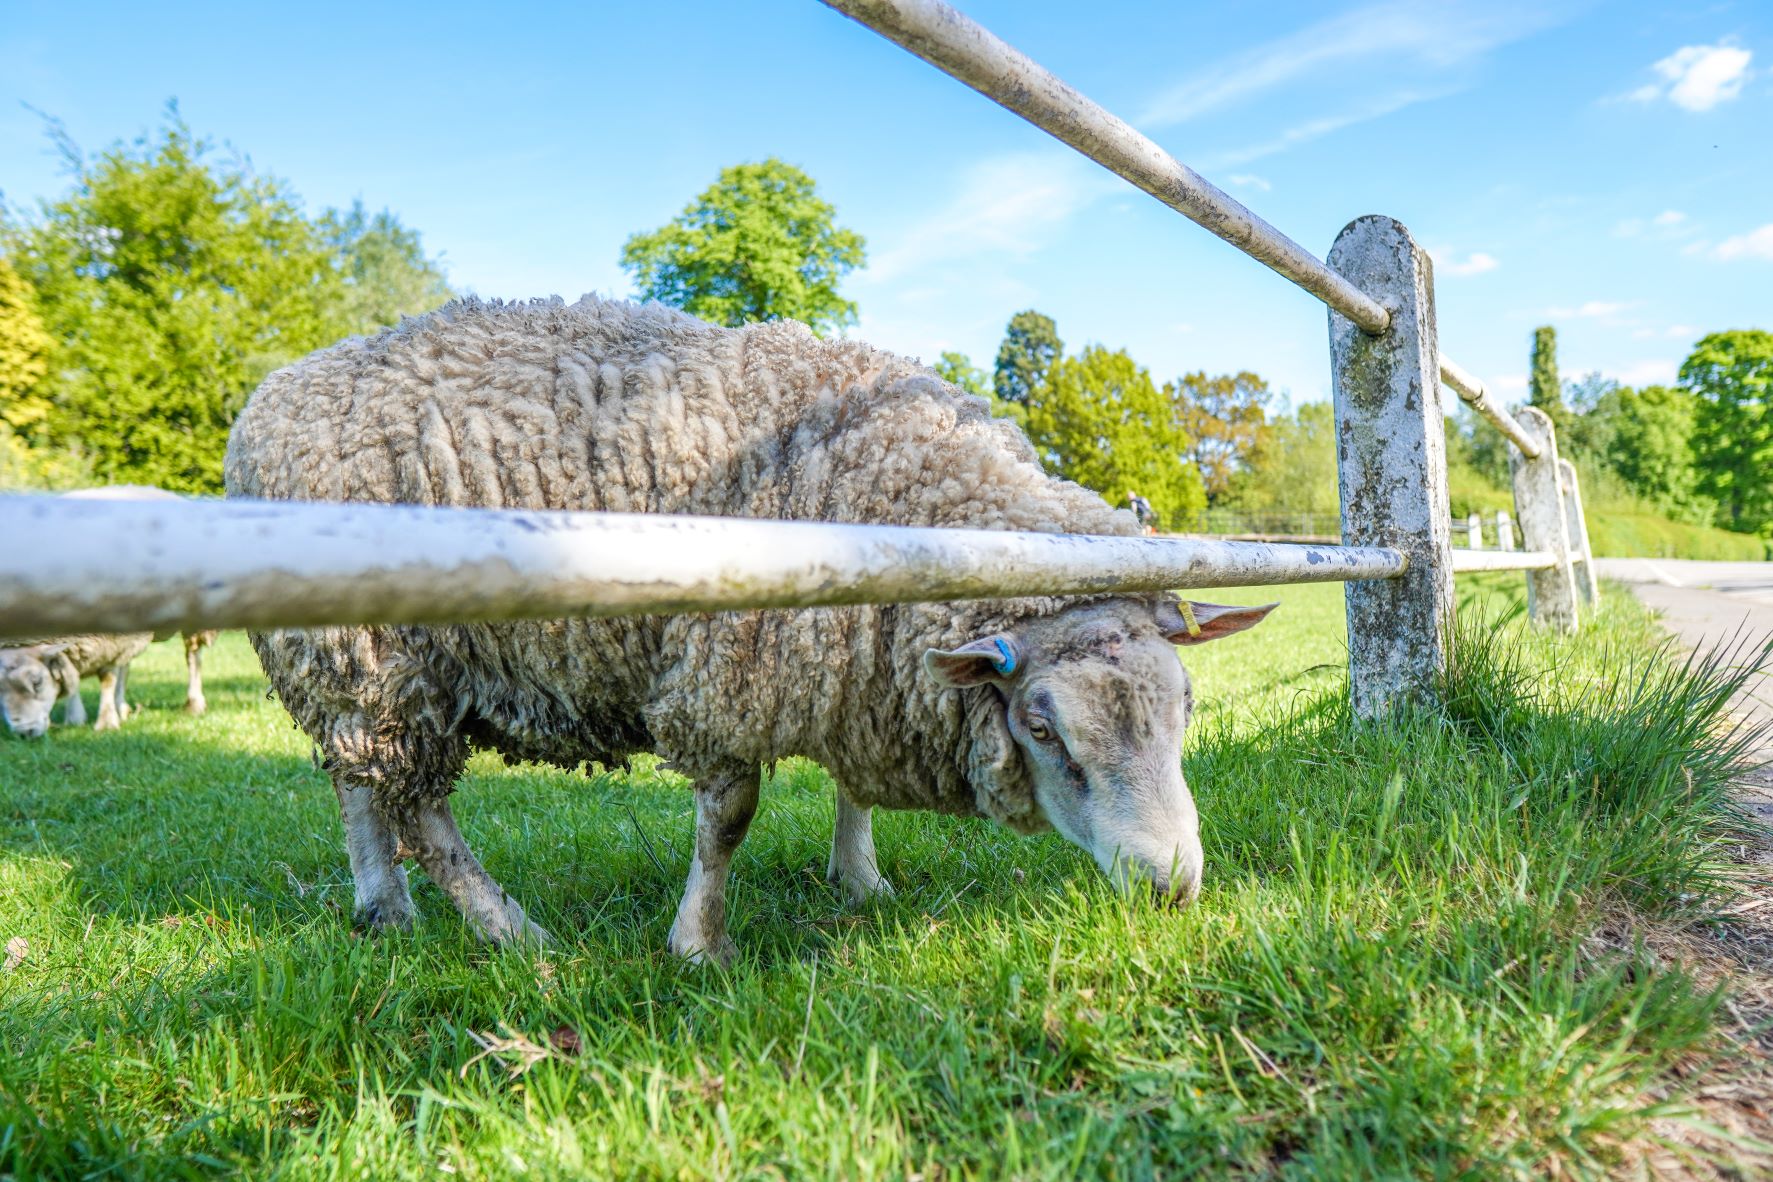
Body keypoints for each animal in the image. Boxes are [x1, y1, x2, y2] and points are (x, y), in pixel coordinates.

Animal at [225, 294, 1276, 964]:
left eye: (1185, 706)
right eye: (1043, 729)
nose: (1171, 885)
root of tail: (265, 400)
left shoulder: (855, 662)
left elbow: (848, 790)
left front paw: (859, 879)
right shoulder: (724, 668)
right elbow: (728, 818)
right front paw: (698, 945)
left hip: (342, 668)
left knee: (358, 786)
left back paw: (382, 908)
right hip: (383, 661)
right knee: (422, 814)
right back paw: (512, 933)